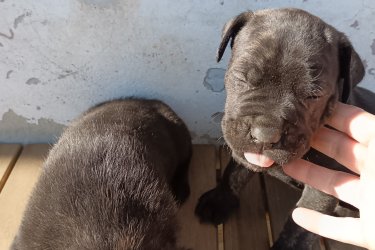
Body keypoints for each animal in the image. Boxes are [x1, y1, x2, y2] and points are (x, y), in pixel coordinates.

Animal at [197, 7, 370, 250]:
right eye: (242, 77)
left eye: (313, 95)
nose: (265, 135)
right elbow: (235, 171)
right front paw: (219, 200)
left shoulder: (322, 188)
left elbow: (299, 227)